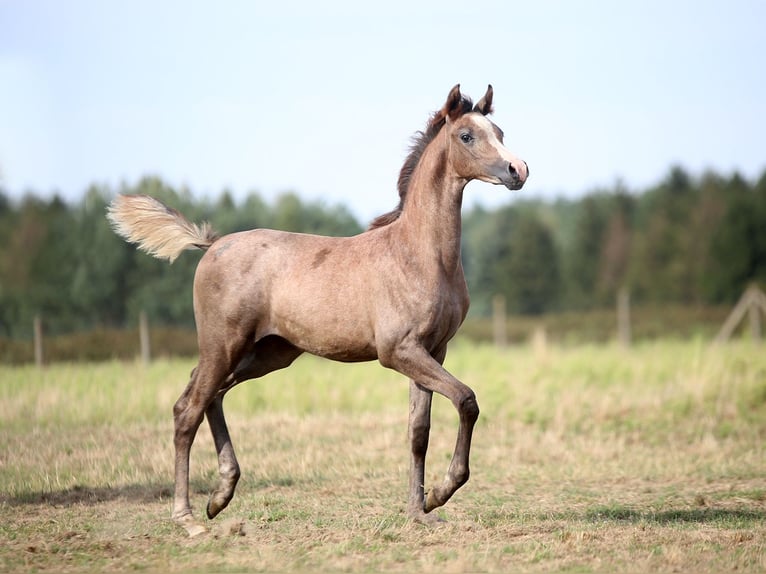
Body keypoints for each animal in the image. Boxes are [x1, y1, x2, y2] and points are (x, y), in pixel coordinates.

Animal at [107, 84, 528, 537]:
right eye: (467, 136)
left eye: (500, 131)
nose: (518, 169)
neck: (419, 254)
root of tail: (212, 244)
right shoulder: (399, 352)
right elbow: (467, 400)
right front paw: (440, 492)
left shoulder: (433, 351)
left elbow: (419, 431)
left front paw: (420, 509)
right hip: (224, 344)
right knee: (187, 409)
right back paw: (188, 518)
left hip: (266, 353)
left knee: (209, 397)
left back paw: (220, 496)